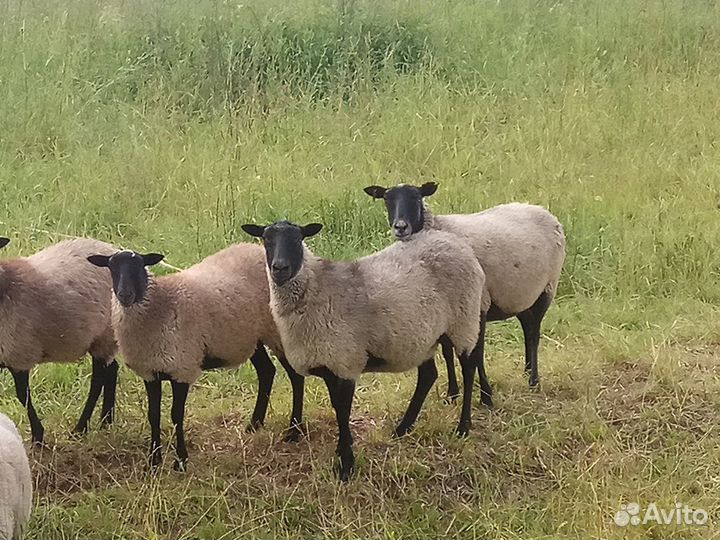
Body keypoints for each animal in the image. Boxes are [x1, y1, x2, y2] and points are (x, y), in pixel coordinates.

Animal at [0, 237, 119, 444]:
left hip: (105, 333)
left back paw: (81, 428)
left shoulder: (18, 355)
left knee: (98, 380)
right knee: (112, 370)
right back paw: (105, 422)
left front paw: (38, 436)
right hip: (104, 340)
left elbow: (23, 395)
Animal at [87, 243, 306, 470]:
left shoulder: (182, 368)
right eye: (112, 267)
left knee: (295, 376)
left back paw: (294, 431)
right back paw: (254, 425)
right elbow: (153, 415)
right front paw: (154, 462)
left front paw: (181, 461)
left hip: (277, 331)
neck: (161, 303)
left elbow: (176, 415)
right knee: (266, 371)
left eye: (139, 266)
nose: (125, 294)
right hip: (251, 336)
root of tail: (255, 246)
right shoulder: (150, 372)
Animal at [242, 220, 489, 481]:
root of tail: (458, 244)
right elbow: (337, 408)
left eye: (298, 239)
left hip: (464, 320)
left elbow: (342, 411)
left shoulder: (346, 362)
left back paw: (463, 427)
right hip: (423, 337)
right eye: (266, 239)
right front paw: (343, 450)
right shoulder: (329, 365)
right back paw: (403, 428)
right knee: (428, 375)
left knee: (469, 367)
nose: (280, 268)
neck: (317, 288)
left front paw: (346, 464)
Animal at [364, 183, 566, 392]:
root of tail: (543, 210)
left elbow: (477, 352)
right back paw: (527, 371)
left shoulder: (478, 305)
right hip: (520, 296)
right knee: (527, 326)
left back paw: (533, 381)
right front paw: (452, 392)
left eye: (416, 197)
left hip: (547, 288)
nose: (400, 227)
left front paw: (483, 390)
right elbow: (447, 352)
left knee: (534, 333)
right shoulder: (447, 310)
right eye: (387, 199)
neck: (438, 227)